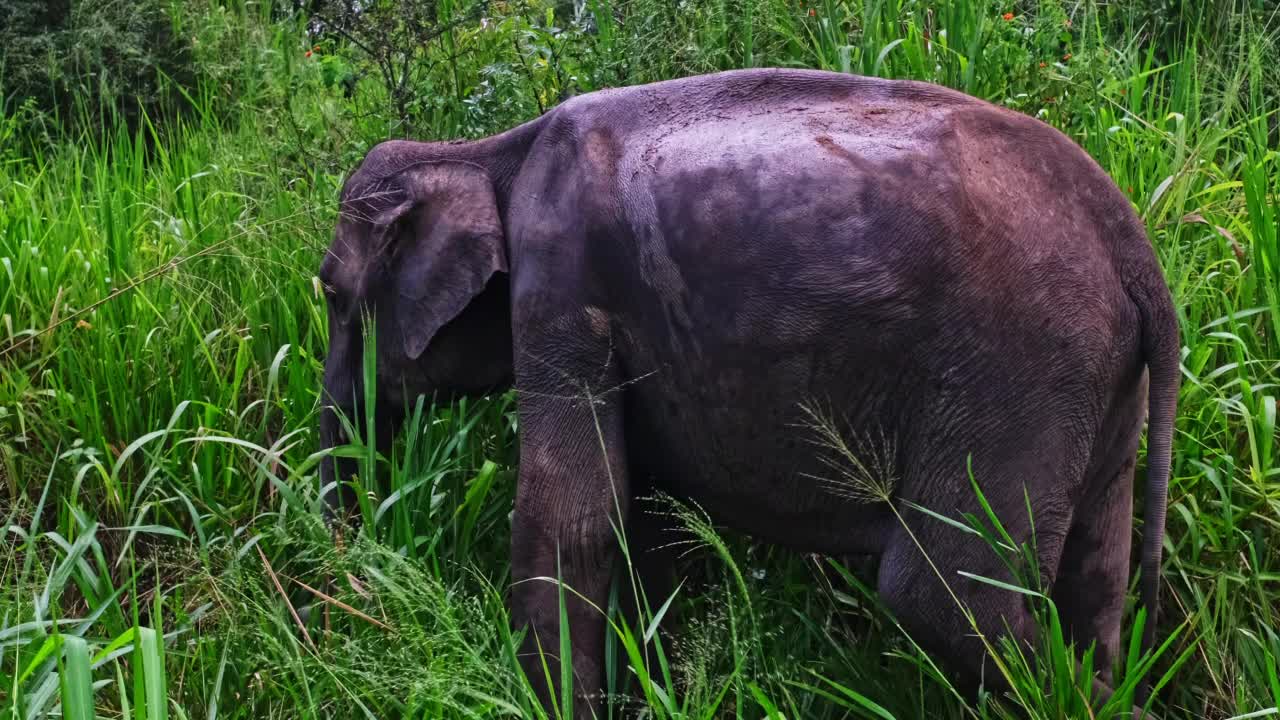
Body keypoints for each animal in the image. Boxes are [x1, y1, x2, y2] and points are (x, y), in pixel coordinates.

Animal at [320, 67, 1177, 712]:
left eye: (329, 291)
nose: (351, 580)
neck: (485, 151)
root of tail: (1134, 248)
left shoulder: (558, 286)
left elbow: (572, 518)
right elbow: (650, 524)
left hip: (1010, 374)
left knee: (940, 592)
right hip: (1095, 382)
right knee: (1096, 573)